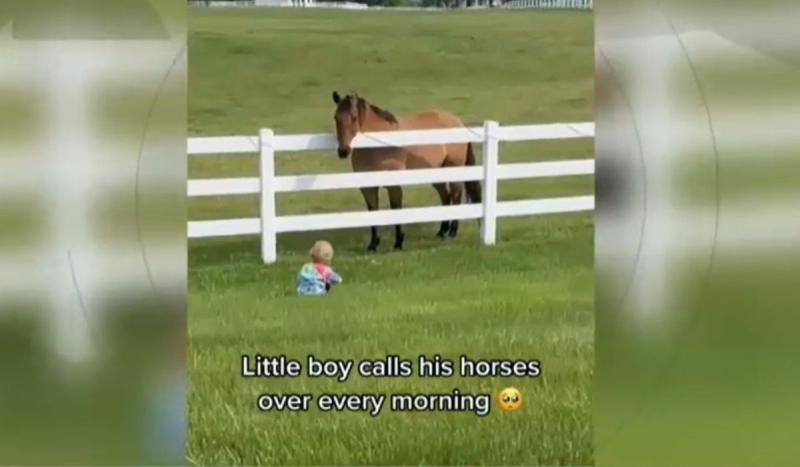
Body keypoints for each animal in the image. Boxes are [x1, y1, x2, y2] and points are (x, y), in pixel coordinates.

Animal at [331, 91, 482, 253]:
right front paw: (373, 245)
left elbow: (396, 209)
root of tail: (458, 122)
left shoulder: (394, 185)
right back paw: (442, 231)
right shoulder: (368, 188)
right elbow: (373, 212)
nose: (343, 151)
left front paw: (398, 243)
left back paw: (452, 232)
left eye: (354, 117)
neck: (377, 146)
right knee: (446, 197)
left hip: (454, 170)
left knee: (455, 196)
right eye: (336, 117)